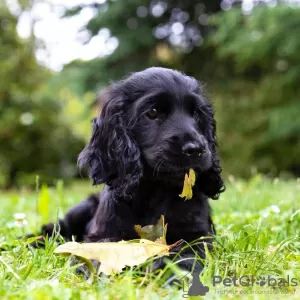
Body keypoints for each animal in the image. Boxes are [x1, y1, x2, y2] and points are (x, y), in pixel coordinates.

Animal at [40, 67, 225, 276]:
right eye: (153, 112)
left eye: (196, 113)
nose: (196, 149)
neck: (155, 190)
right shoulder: (103, 233)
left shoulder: (196, 235)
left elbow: (184, 255)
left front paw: (174, 277)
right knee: (53, 229)